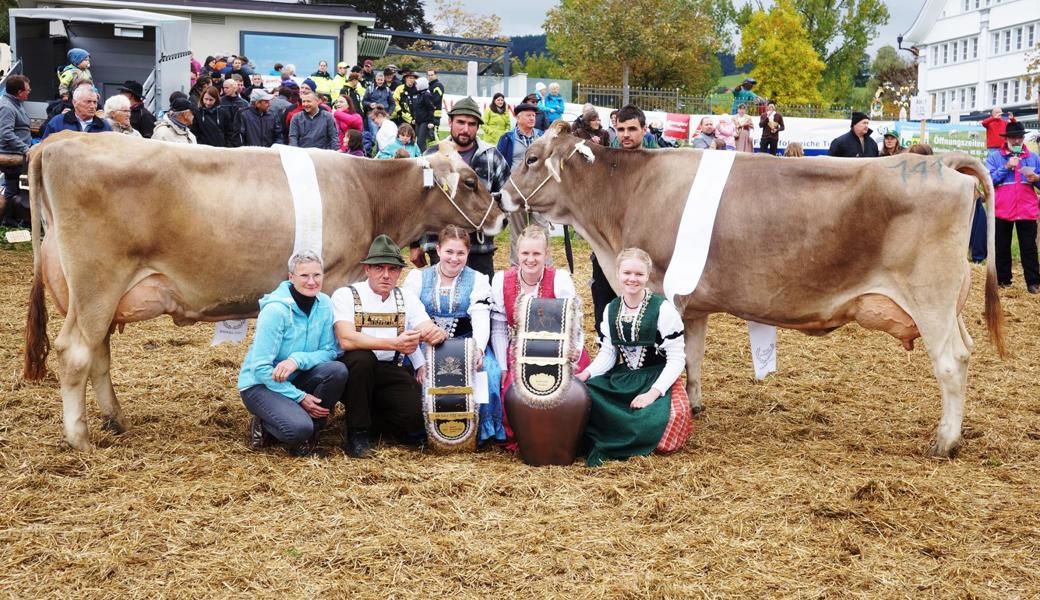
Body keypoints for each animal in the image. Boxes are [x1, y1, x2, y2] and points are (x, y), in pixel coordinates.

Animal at [19, 132, 499, 449]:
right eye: (471, 182)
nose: (498, 218)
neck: (367, 191)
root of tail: (59, 140)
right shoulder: (336, 280)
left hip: (97, 296)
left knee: (98, 352)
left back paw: (116, 419)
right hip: (97, 282)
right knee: (75, 353)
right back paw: (80, 438)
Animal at [503, 123, 1006, 455]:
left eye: (531, 159)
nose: (502, 195)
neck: (624, 198)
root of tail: (939, 161)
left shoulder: (668, 291)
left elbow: (673, 359)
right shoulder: (694, 305)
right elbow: (695, 358)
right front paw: (696, 405)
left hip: (931, 299)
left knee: (950, 362)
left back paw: (945, 441)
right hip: (949, 305)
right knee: (965, 350)